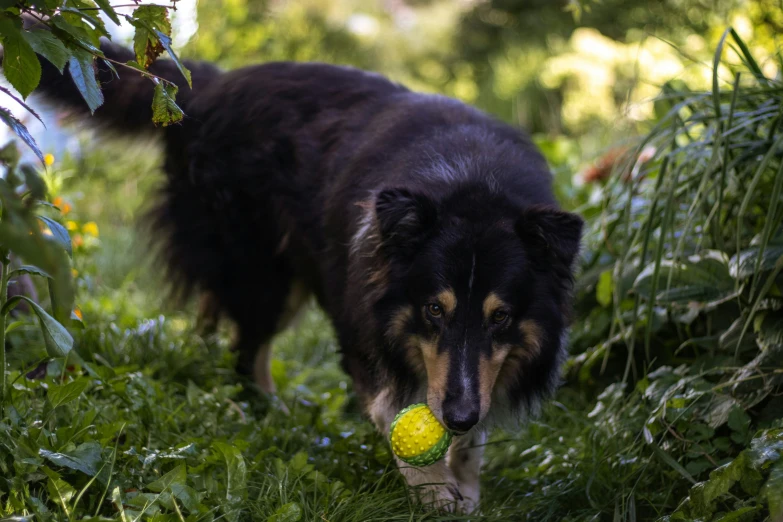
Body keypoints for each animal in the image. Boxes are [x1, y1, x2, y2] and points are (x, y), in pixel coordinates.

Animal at [30, 34, 580, 510]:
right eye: (432, 309)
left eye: (501, 316)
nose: (459, 418)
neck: (473, 184)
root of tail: (205, 85)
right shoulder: (366, 321)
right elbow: (394, 413)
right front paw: (436, 494)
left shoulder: (478, 370)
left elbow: (473, 424)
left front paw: (465, 484)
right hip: (260, 268)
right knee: (245, 350)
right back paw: (270, 414)